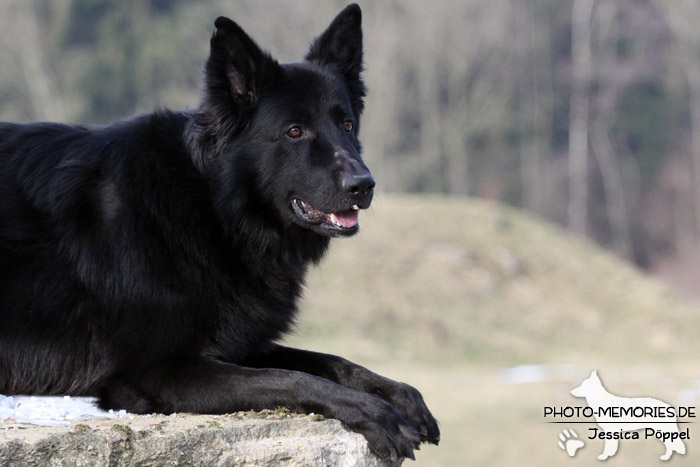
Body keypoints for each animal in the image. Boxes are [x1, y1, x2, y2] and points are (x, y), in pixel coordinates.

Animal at [0, 3, 438, 462]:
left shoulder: (239, 342)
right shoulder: (160, 371)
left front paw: (399, 394)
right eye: (294, 131)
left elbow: (328, 362)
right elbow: (291, 378)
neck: (211, 205)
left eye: (348, 125)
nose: (363, 185)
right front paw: (373, 412)